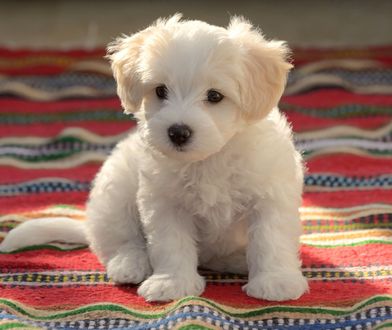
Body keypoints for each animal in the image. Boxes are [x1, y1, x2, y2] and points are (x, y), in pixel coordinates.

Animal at [2, 14, 310, 302]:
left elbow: (271, 240)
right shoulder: (164, 202)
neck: (210, 158)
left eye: (215, 96)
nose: (178, 132)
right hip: (115, 194)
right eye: (161, 90)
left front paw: (276, 282)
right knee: (120, 240)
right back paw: (131, 264)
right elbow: (171, 244)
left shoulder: (270, 195)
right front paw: (172, 283)